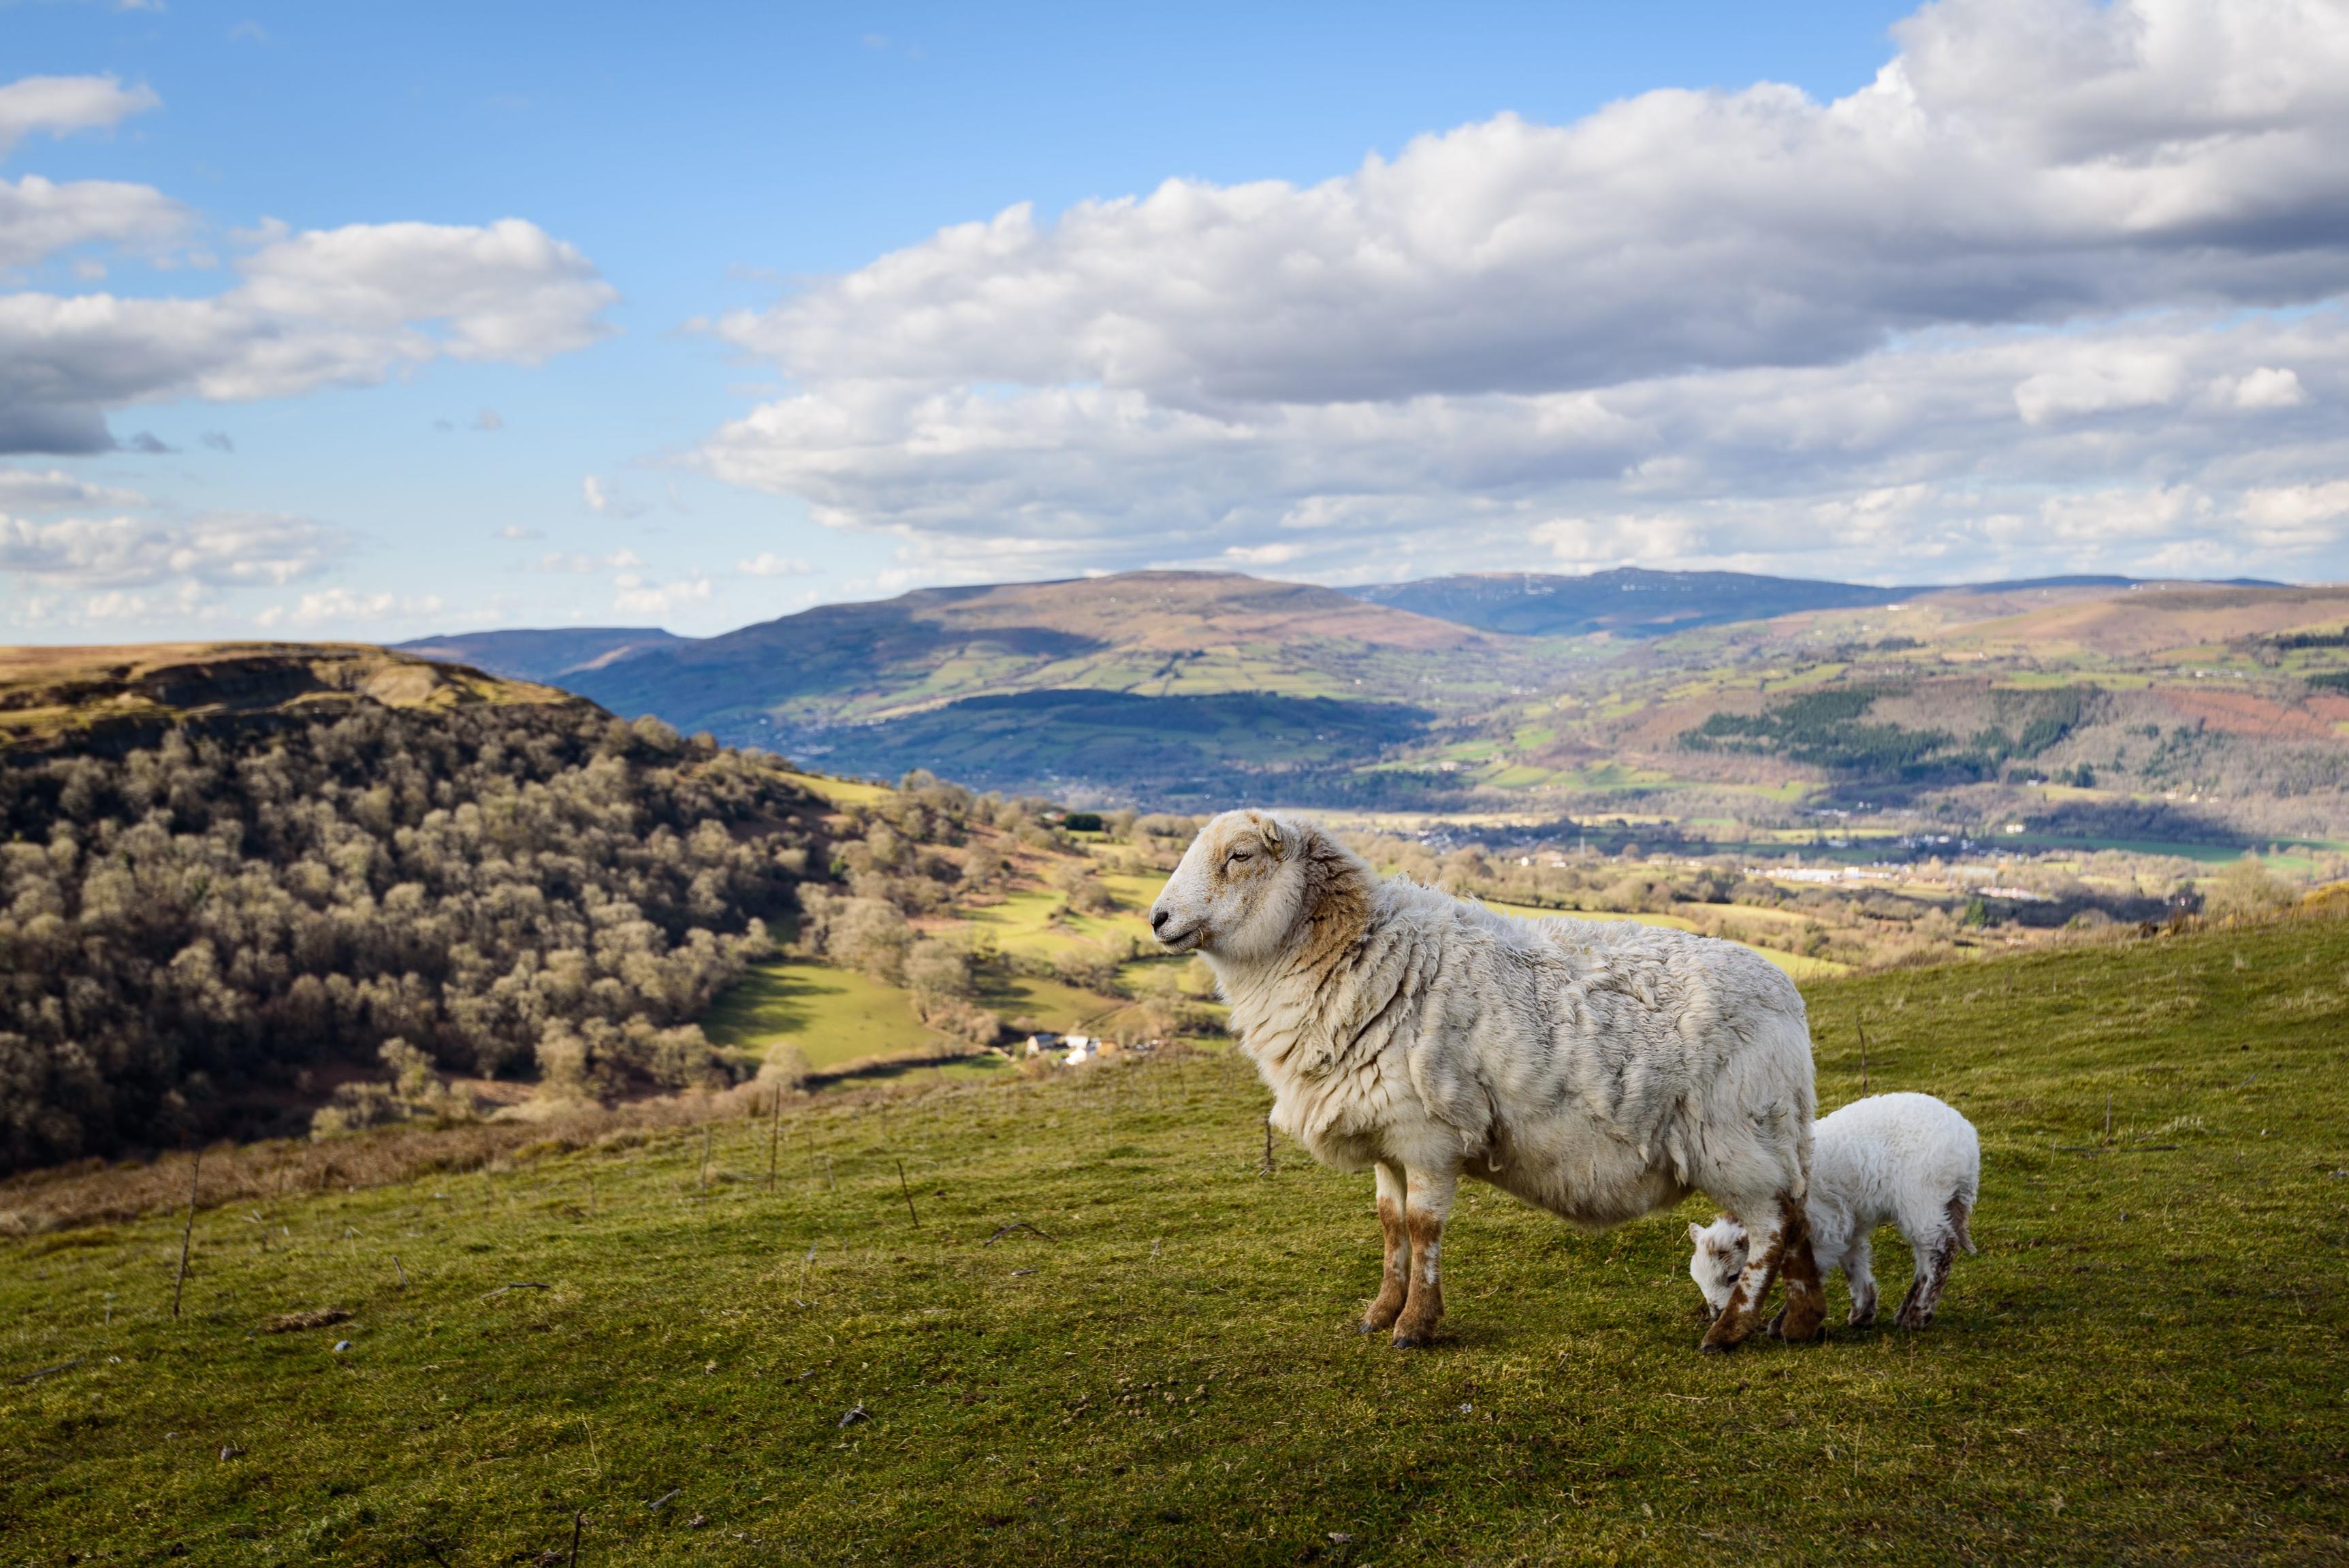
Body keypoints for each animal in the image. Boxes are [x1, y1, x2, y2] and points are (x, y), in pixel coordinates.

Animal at [1146, 807, 1823, 1351]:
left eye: (1239, 856)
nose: (1158, 918)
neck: (1360, 954)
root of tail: (1789, 999)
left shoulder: (1429, 1135)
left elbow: (1423, 1228)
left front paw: (1415, 1326)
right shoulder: (1387, 1134)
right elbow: (1389, 1225)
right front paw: (1379, 1312)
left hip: (1732, 1139)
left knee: (1771, 1226)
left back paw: (1730, 1330)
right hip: (1773, 1136)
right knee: (1799, 1214)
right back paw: (1801, 1321)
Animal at [1691, 1089, 1982, 1333]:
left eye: (1733, 1277)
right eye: (1698, 1280)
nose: (1716, 1315)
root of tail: (1967, 1139)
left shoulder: (1826, 1227)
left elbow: (1811, 1273)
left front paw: (1784, 1323)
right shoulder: (1846, 1227)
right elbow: (1854, 1263)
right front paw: (1863, 1313)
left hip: (1921, 1195)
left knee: (1941, 1247)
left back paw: (1918, 1315)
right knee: (1925, 1255)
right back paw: (1907, 1312)